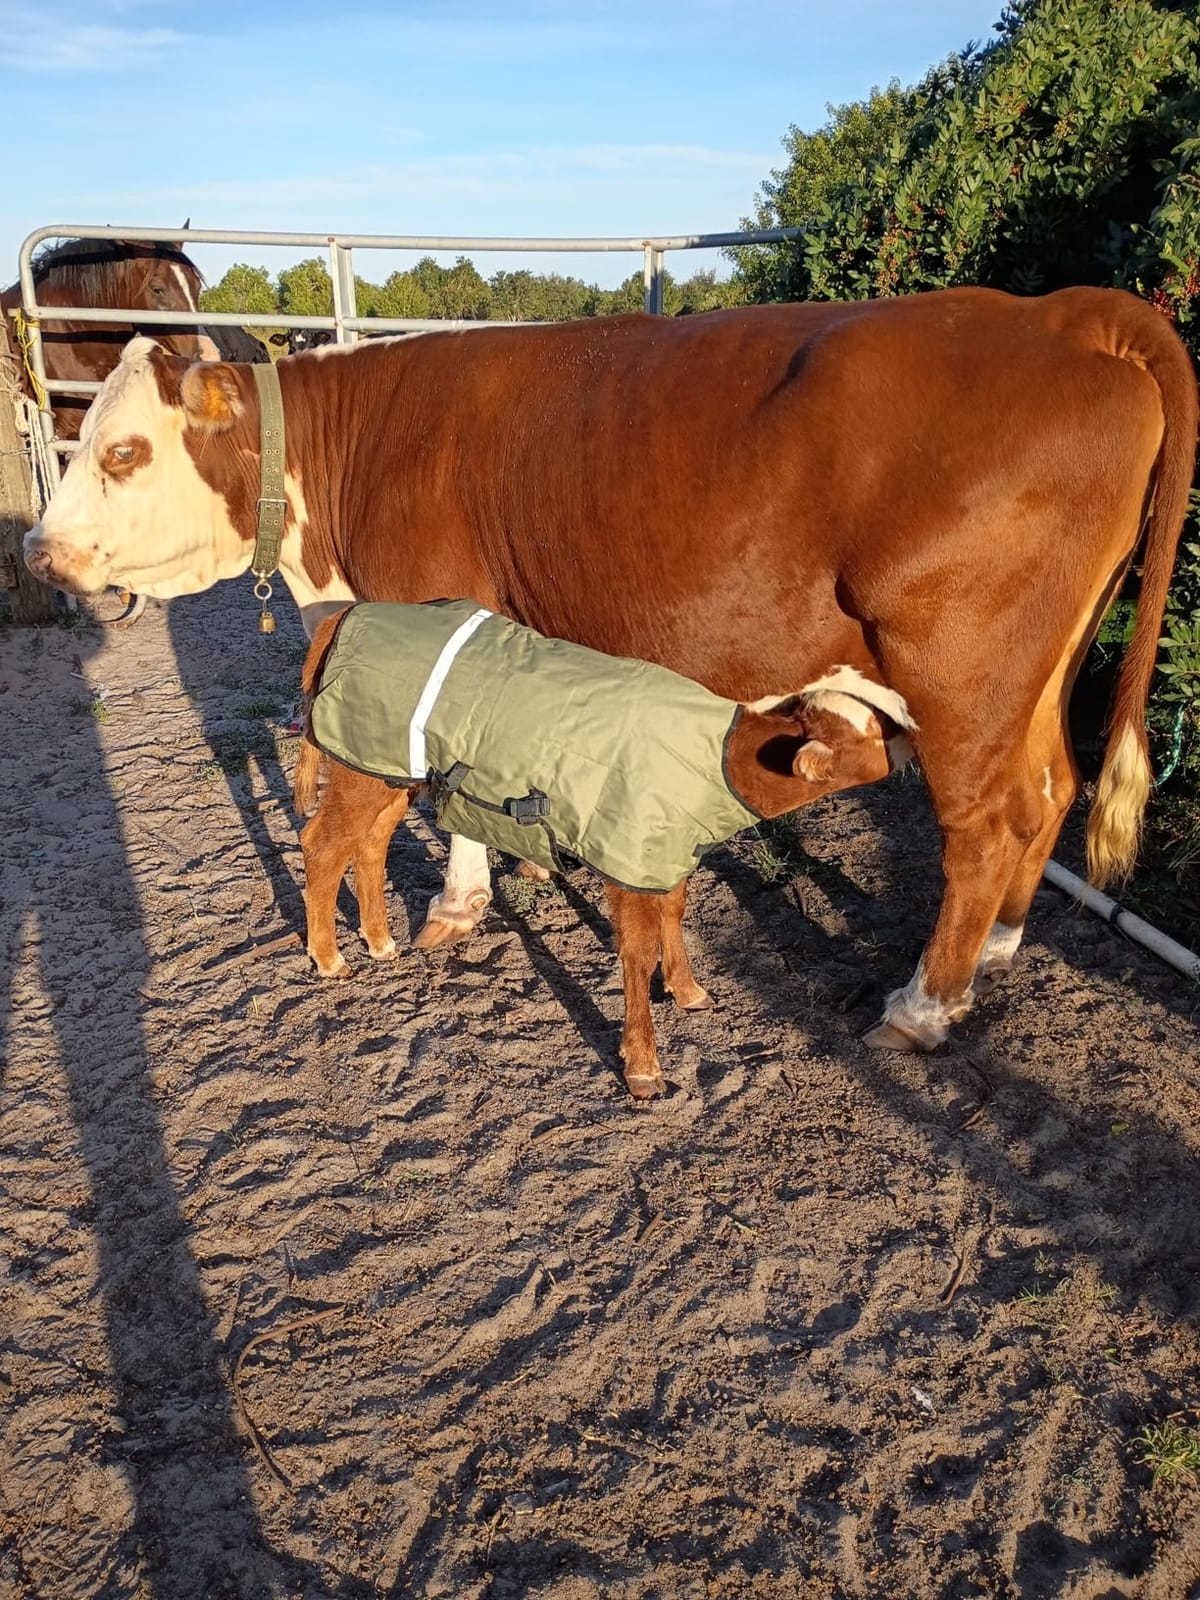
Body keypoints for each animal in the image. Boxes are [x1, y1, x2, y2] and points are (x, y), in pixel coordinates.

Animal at [292, 601, 897, 1097]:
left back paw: (379, 941)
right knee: (324, 844)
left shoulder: (666, 847)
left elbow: (674, 912)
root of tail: (344, 616)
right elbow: (637, 950)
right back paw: (329, 956)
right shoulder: (625, 848)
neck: (719, 756)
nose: (909, 727)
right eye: (868, 735)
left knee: (371, 842)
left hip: (390, 769)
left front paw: (687, 989)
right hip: (360, 762)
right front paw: (643, 1067)